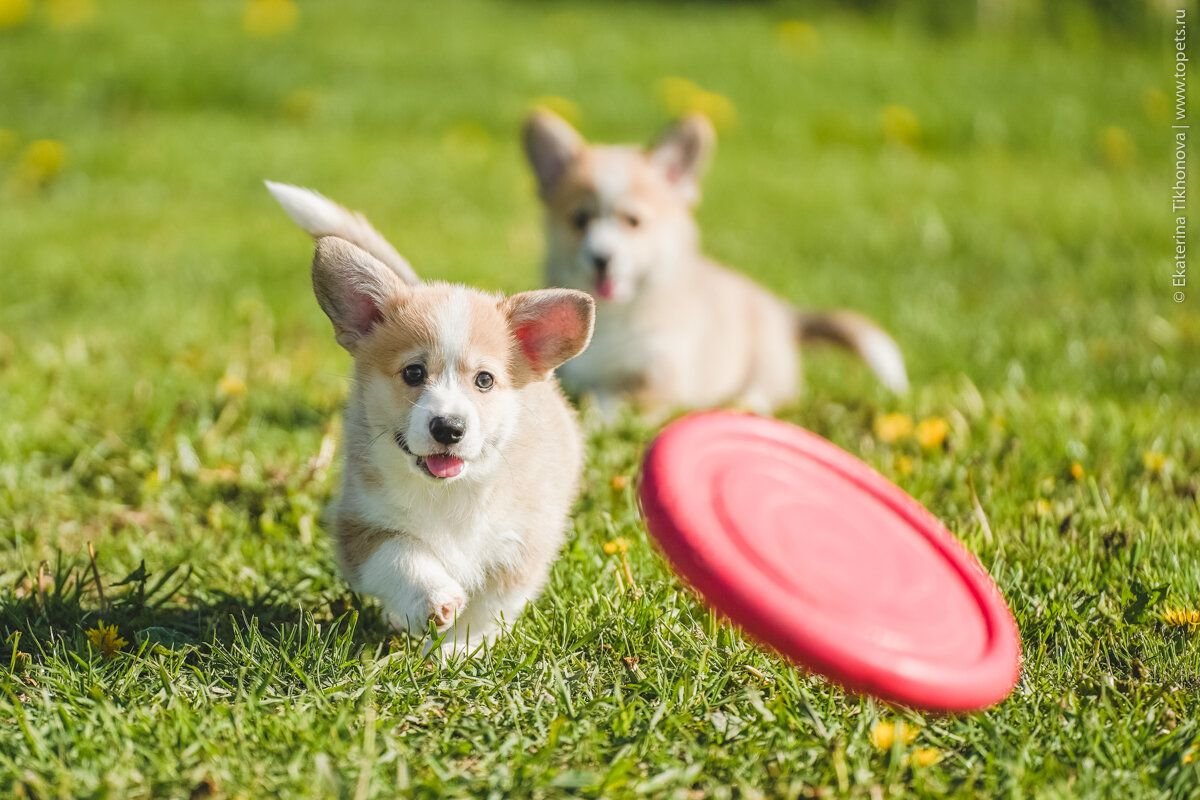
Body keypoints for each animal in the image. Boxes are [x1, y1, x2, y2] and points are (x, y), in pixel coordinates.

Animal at [267, 183, 595, 657]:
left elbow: (487, 609)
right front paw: (434, 599)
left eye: (484, 380)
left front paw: (456, 653)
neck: (451, 494)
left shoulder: (519, 548)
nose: (449, 428)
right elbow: (401, 556)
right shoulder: (362, 526)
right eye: (413, 373)